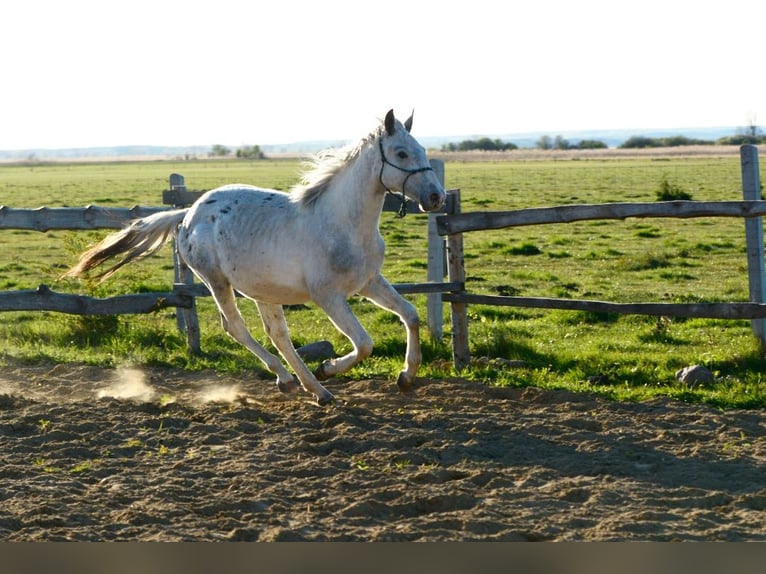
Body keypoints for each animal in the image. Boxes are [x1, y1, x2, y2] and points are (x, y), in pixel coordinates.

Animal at [64, 109, 447, 405]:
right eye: (401, 153)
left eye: (421, 149)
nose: (436, 197)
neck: (342, 223)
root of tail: (188, 214)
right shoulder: (328, 296)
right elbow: (365, 344)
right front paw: (329, 367)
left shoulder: (368, 282)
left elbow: (411, 315)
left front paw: (406, 377)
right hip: (217, 281)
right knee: (236, 328)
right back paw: (296, 381)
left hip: (265, 290)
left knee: (277, 334)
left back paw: (314, 390)